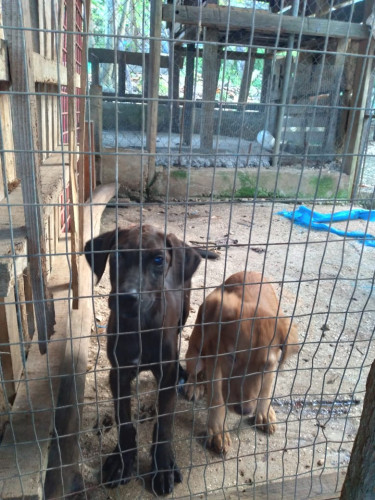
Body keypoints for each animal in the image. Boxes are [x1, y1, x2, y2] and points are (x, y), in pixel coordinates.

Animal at [83, 225, 216, 494]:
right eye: (118, 255)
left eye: (158, 260)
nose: (127, 298)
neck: (140, 325)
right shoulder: (119, 374)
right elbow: (124, 421)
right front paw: (122, 461)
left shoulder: (166, 377)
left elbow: (163, 425)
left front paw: (163, 466)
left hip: (185, 311)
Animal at [185, 272, 300, 456]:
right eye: (232, 357)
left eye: (265, 366)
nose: (244, 411)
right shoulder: (215, 359)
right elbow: (217, 398)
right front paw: (218, 431)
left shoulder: (272, 365)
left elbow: (265, 388)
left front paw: (264, 411)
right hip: (195, 355)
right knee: (195, 371)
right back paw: (195, 385)